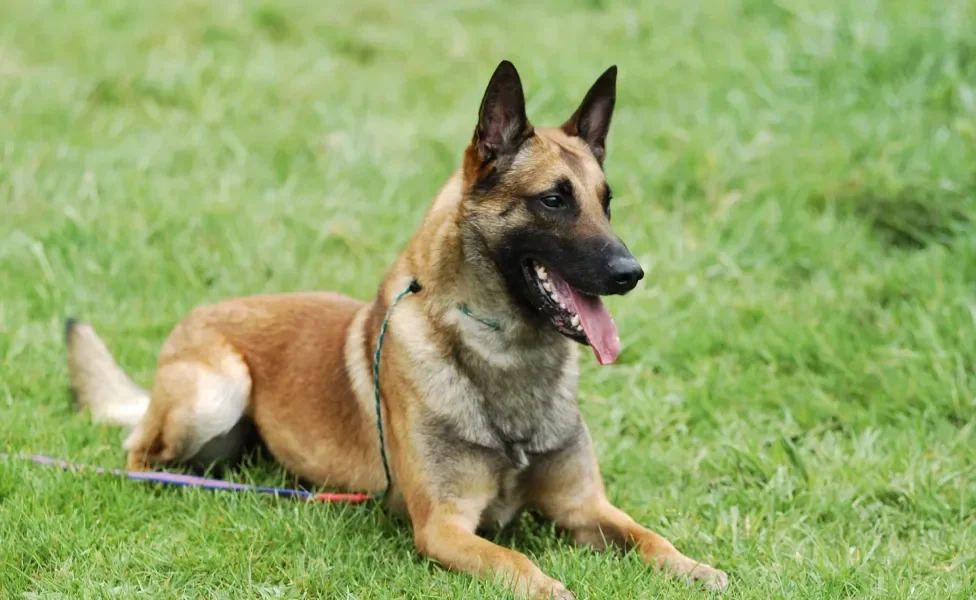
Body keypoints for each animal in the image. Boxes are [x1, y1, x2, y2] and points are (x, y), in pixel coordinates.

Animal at [66, 62, 724, 600]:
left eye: (606, 202)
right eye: (554, 201)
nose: (631, 272)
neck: (507, 355)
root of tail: (196, 316)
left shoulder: (585, 506)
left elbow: (650, 537)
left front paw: (695, 567)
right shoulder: (444, 526)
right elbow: (514, 562)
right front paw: (548, 586)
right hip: (215, 394)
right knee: (137, 453)